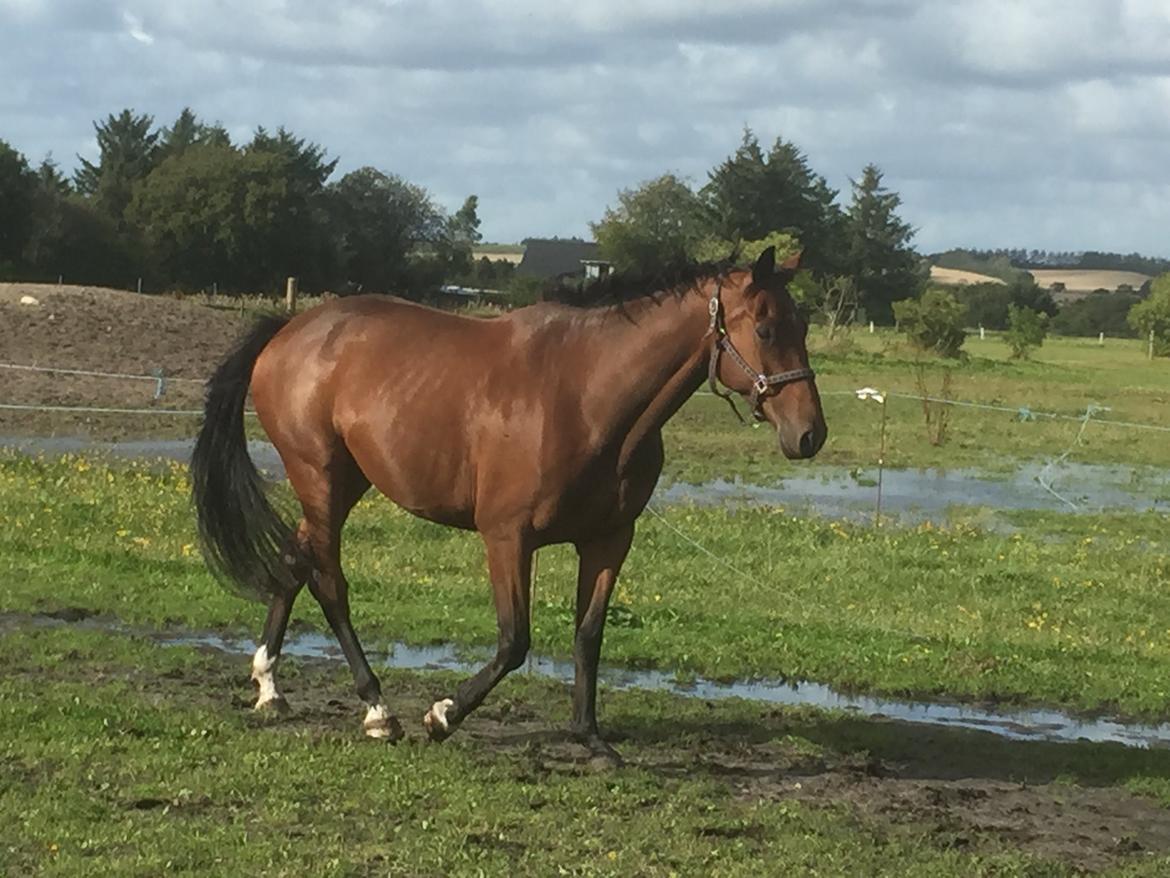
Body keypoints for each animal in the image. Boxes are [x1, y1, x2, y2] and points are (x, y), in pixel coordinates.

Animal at [191, 249, 828, 763]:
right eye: (766, 327)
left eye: (803, 323)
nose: (810, 434)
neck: (586, 396)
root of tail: (290, 329)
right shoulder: (507, 537)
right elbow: (514, 640)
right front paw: (442, 715)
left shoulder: (609, 538)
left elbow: (588, 634)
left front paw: (591, 739)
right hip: (318, 476)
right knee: (328, 582)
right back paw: (378, 711)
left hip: (343, 483)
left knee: (293, 560)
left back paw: (269, 687)